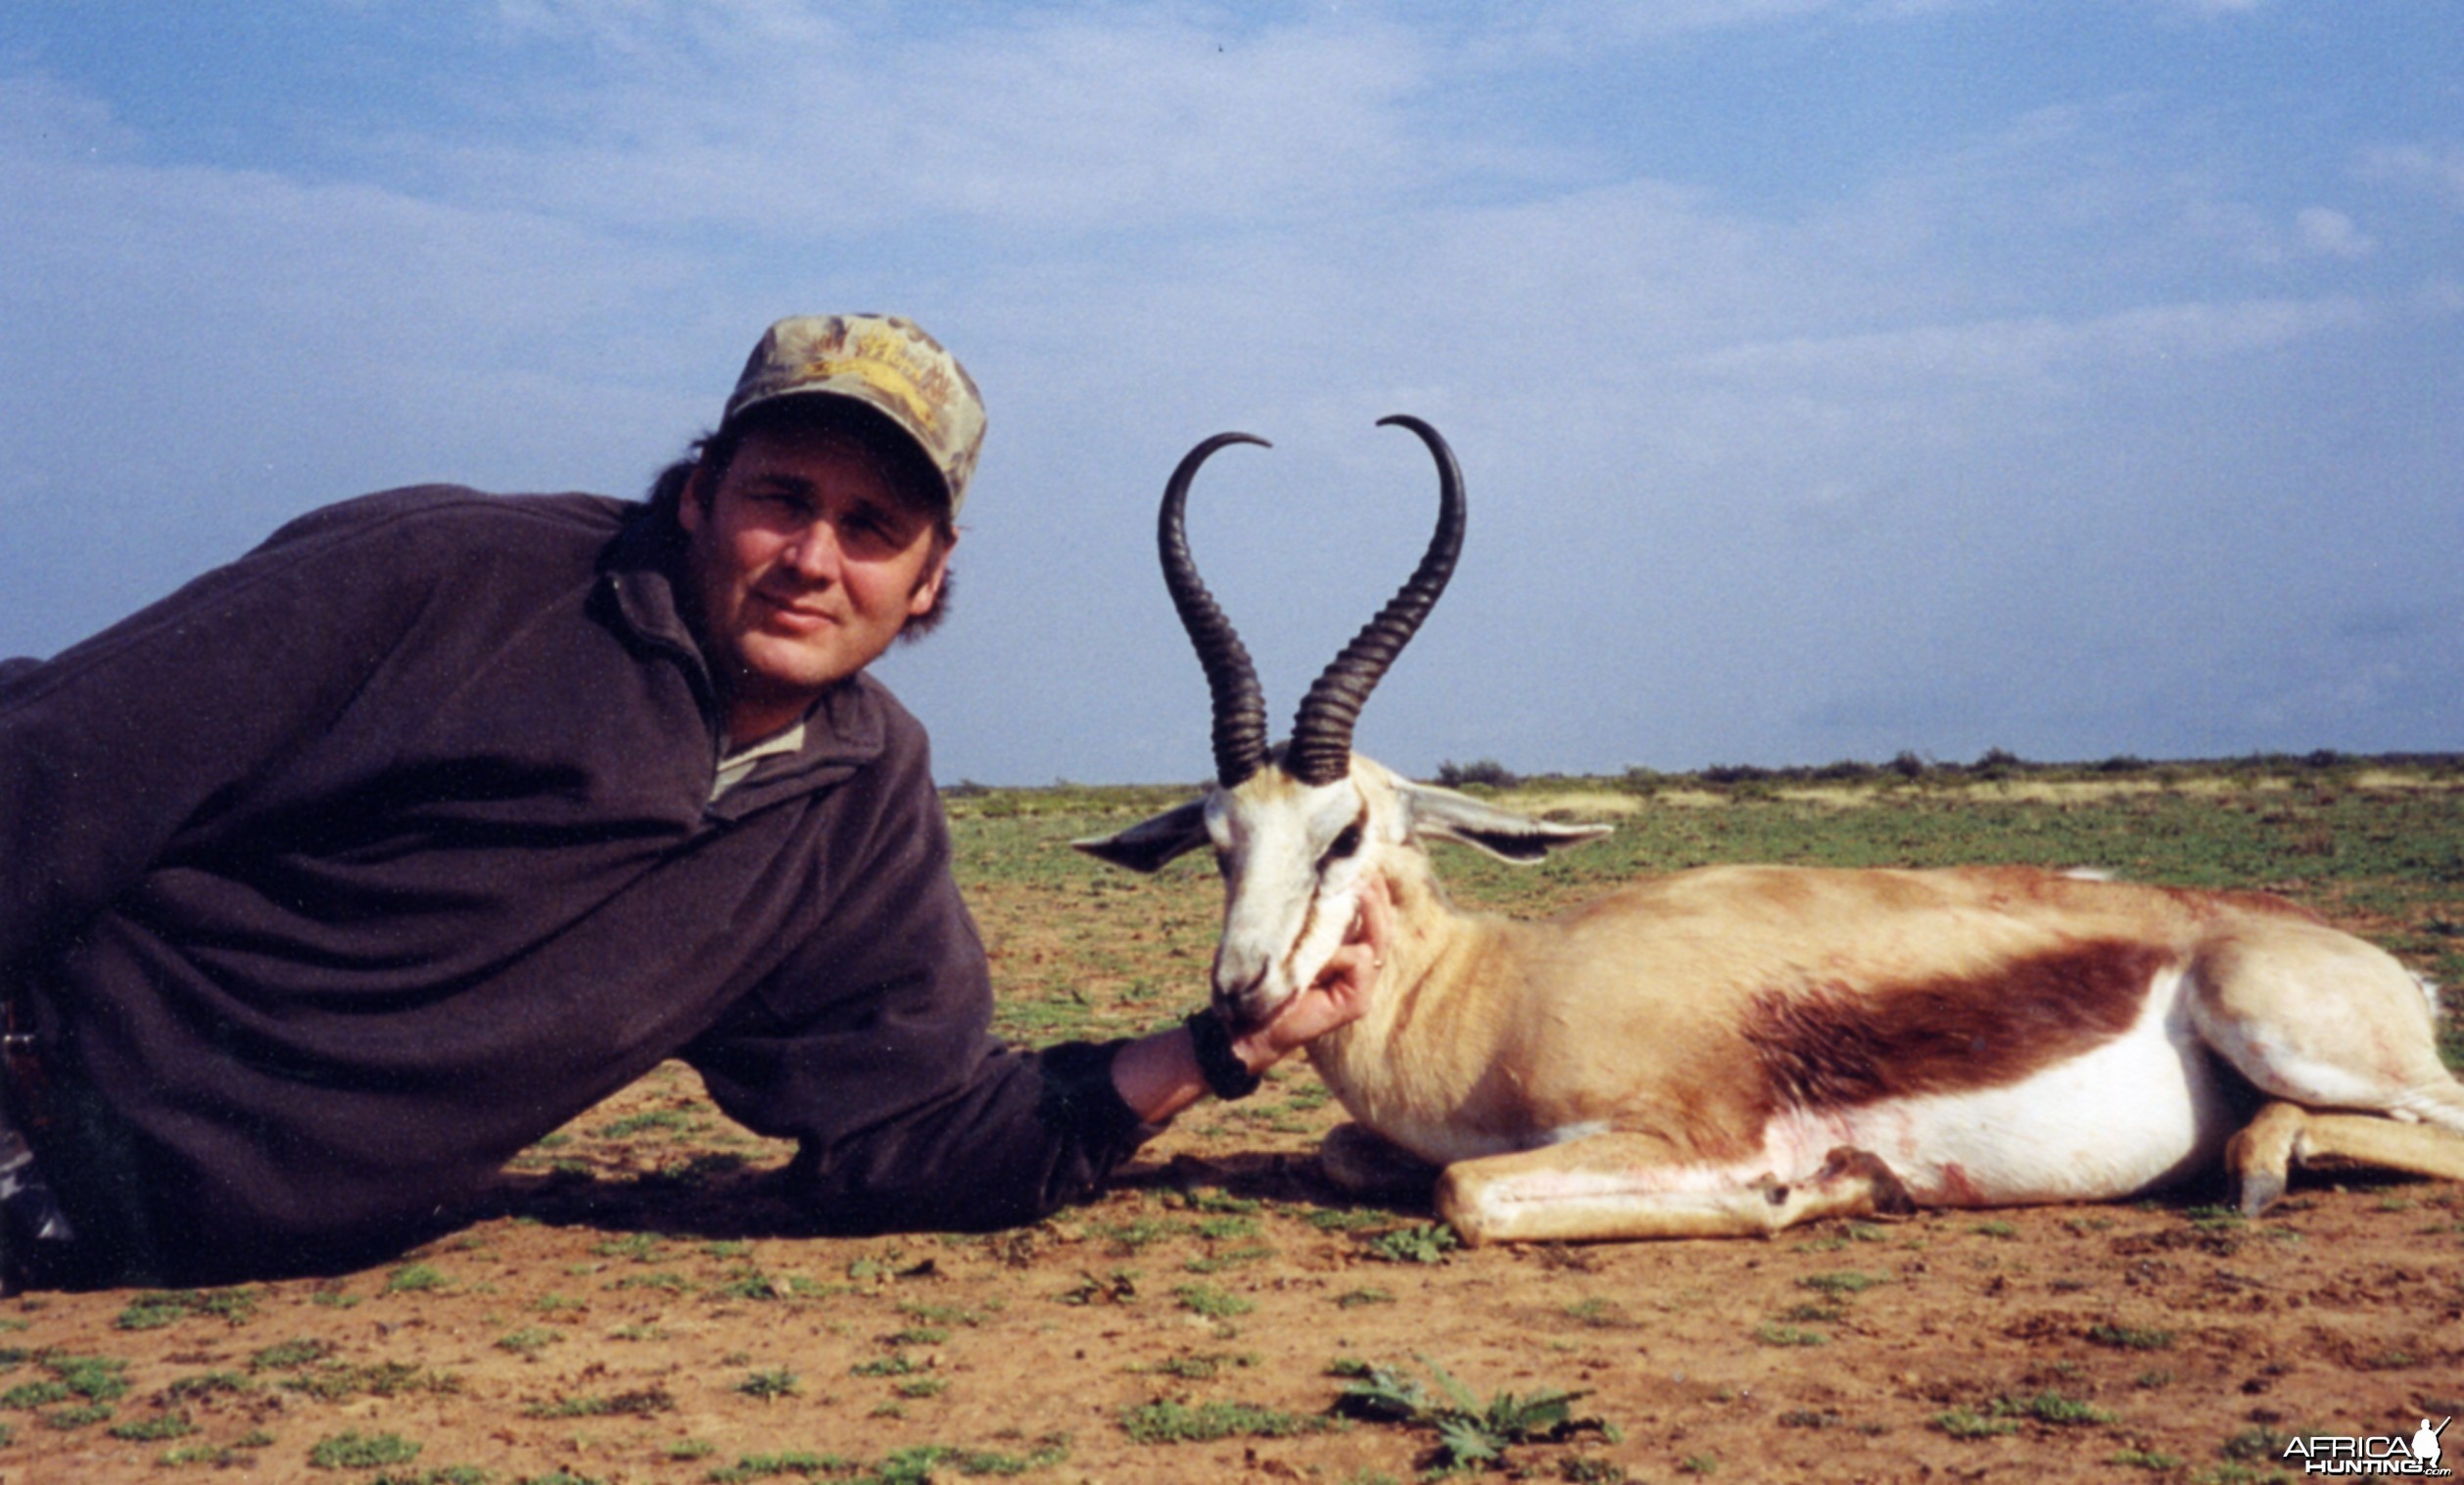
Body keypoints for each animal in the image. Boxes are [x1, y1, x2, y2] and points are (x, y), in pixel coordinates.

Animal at [1079, 415, 2464, 1241]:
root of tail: (2376, 964)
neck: (1496, 994)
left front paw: (1825, 1187)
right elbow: (1348, 1153)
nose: (1241, 991)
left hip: (2282, 1026)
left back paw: (2263, 1161)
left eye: (1345, 832)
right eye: (1216, 838)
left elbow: (1463, 1190)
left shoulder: (1690, 1136)